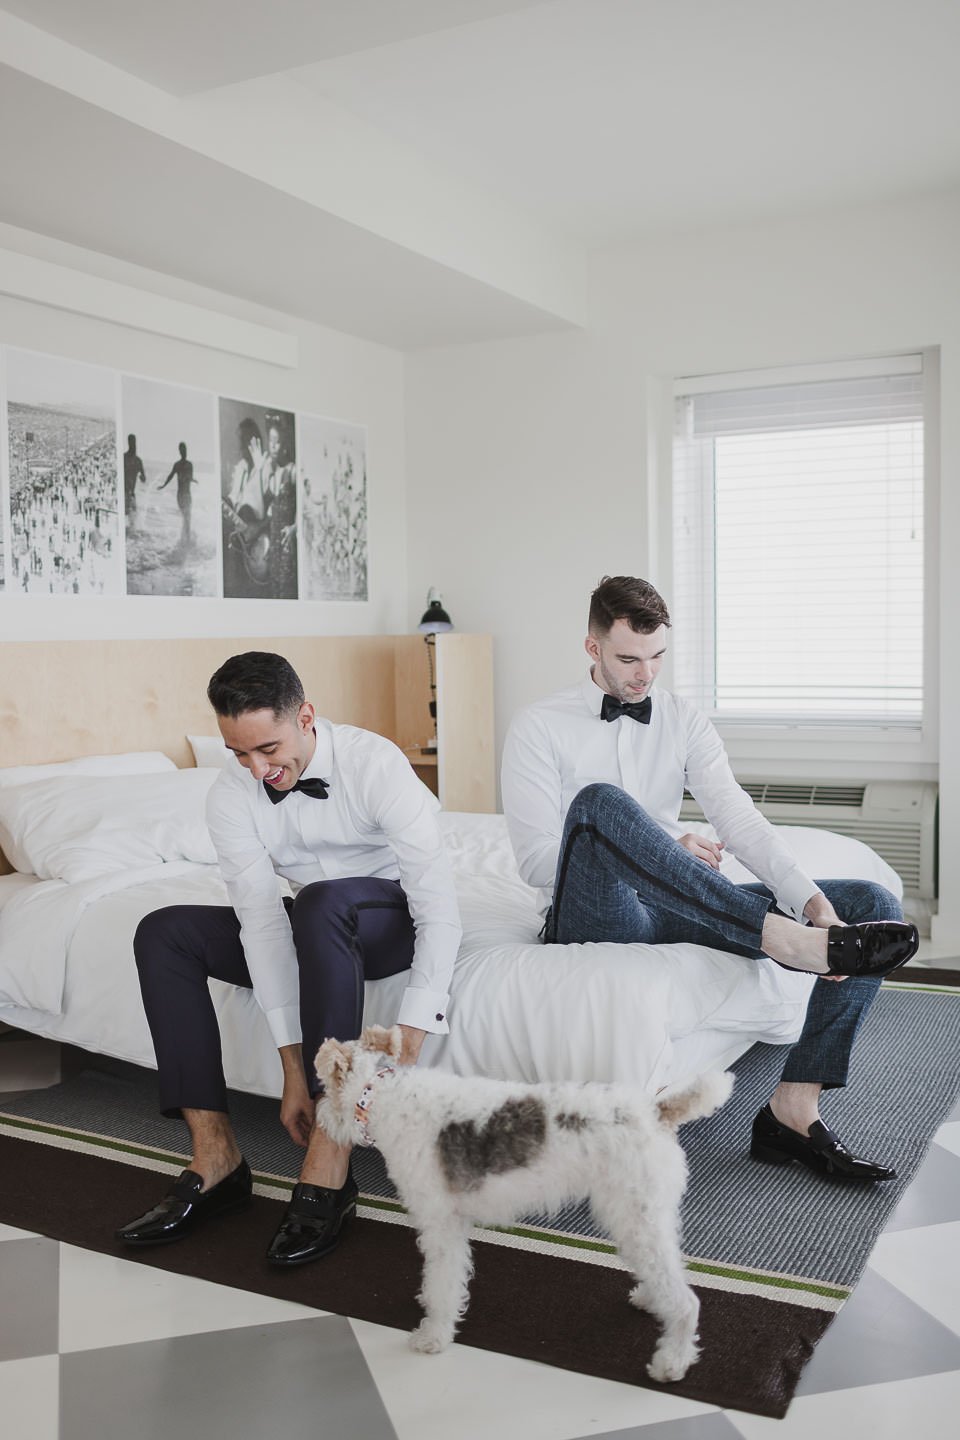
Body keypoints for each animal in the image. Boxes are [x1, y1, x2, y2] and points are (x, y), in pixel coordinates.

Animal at [313, 1025, 728, 1382]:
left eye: (324, 1086)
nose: (319, 1121)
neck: (381, 1097)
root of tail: (657, 1112)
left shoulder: (441, 1224)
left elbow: (444, 1283)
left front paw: (433, 1335)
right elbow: (440, 1280)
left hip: (635, 1216)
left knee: (687, 1301)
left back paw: (671, 1363)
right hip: (644, 1217)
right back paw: (649, 1298)